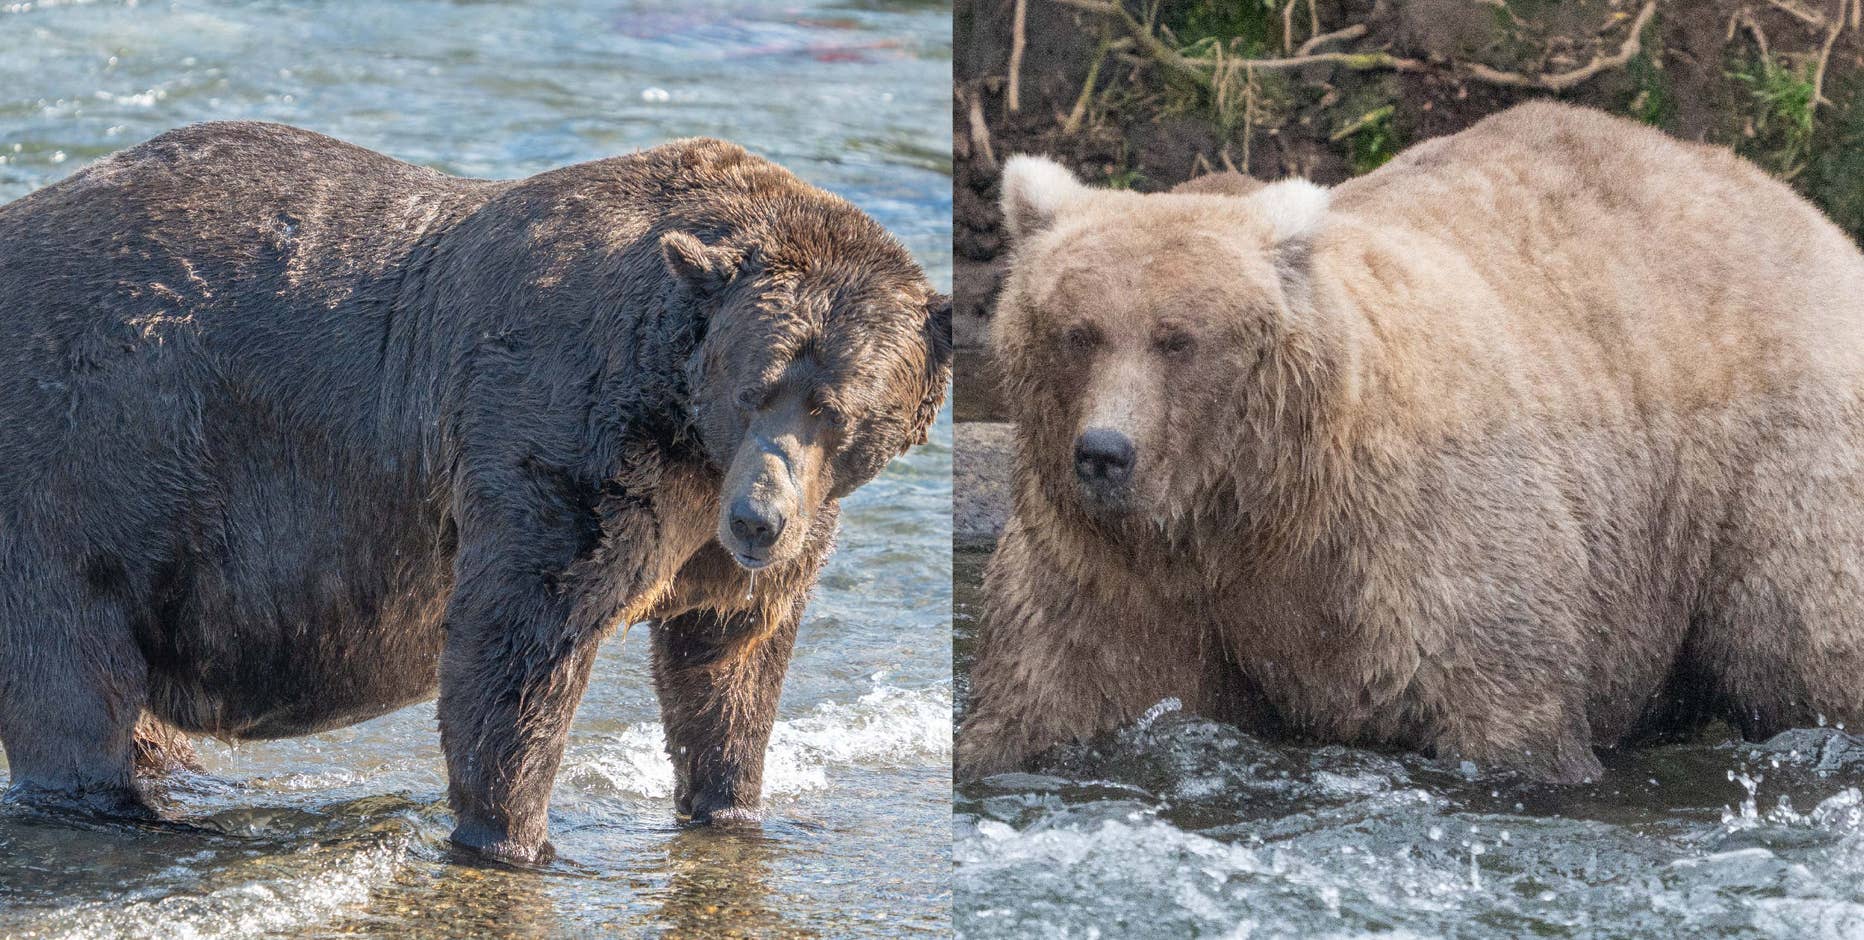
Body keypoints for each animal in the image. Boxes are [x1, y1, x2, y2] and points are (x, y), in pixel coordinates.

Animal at [0, 121, 951, 863]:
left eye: (835, 408)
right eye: (755, 387)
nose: (758, 520)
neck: (686, 429)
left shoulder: (731, 528)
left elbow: (730, 659)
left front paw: (734, 807)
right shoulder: (563, 437)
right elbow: (520, 643)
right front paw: (514, 838)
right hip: (87, 462)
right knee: (72, 675)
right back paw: (131, 810)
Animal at [956, 100, 1864, 784]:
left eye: (1177, 338)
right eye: (1078, 331)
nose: (1105, 452)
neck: (1248, 511)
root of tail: (1800, 208)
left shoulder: (1417, 542)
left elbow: (1502, 706)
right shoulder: (1113, 573)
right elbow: (1055, 695)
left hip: (1771, 462)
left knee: (1806, 638)